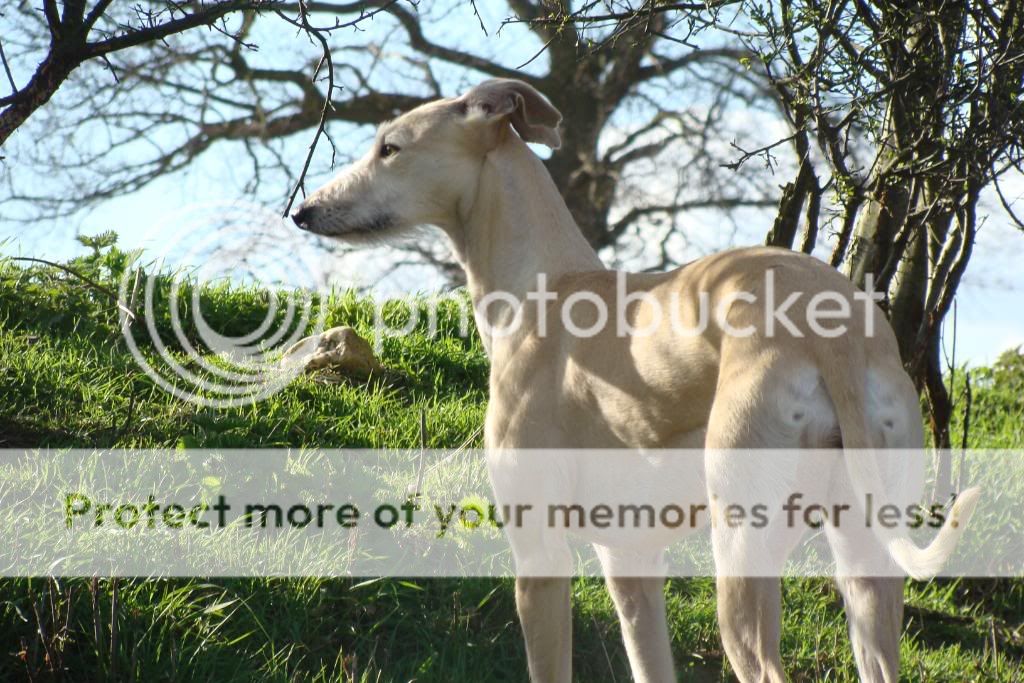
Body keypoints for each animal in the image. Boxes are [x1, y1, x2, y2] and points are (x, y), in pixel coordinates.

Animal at [292, 80, 978, 683]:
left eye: (390, 147)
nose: (302, 211)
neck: (541, 288)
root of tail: (830, 328)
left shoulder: (540, 556)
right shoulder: (630, 561)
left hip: (742, 546)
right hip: (864, 559)